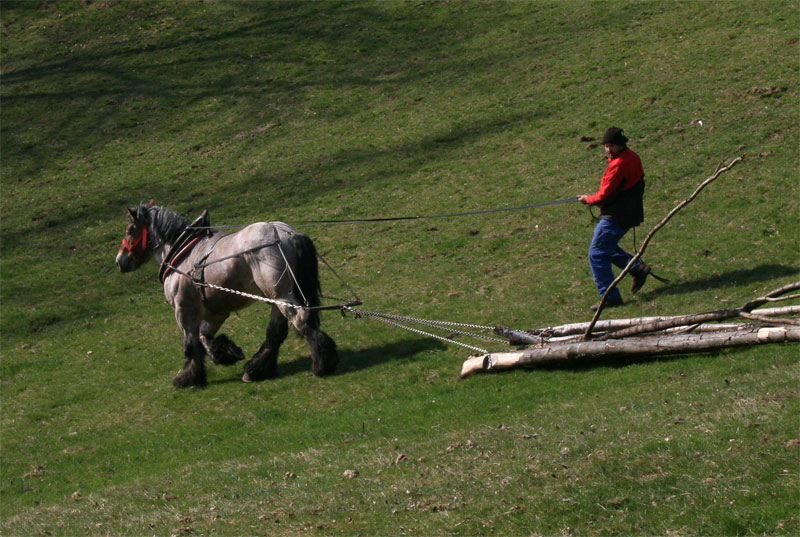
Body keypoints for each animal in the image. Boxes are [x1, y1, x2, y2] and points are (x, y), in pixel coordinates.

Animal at [113, 203, 338, 388]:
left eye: (130, 230)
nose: (119, 260)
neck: (183, 252)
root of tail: (287, 233)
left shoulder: (183, 310)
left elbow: (190, 343)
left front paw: (188, 377)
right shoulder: (216, 311)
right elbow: (204, 336)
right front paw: (226, 353)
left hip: (281, 295)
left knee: (301, 320)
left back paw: (322, 362)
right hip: (275, 297)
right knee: (276, 332)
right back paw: (256, 369)